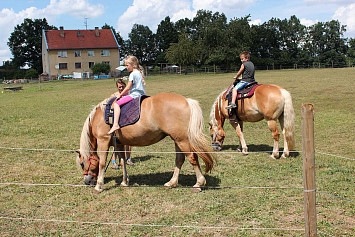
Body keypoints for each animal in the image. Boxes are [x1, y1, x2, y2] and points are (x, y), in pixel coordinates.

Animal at [76, 92, 216, 193]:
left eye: (82, 164)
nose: (87, 181)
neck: (100, 116)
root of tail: (187, 101)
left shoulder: (103, 140)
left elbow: (102, 163)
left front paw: (98, 186)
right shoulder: (120, 143)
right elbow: (122, 161)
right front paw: (125, 181)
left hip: (182, 140)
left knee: (192, 158)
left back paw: (198, 183)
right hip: (178, 139)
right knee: (180, 160)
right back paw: (171, 183)